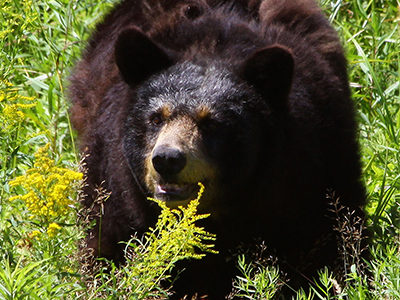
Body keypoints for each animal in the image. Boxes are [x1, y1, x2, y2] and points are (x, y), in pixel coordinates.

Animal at [69, 0, 366, 298]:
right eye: (156, 118)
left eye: (211, 123)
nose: (167, 159)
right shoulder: (115, 183)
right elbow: (112, 242)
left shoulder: (310, 169)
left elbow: (324, 237)